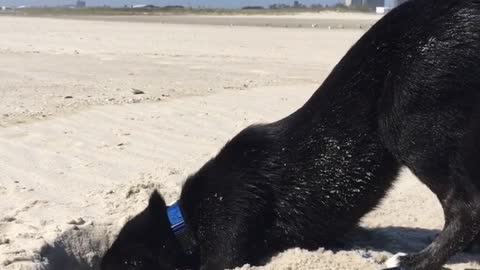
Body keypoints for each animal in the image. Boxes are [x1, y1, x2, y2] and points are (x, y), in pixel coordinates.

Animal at [100, 1, 480, 268]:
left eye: (126, 264)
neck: (186, 222)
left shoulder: (228, 235)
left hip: (408, 122)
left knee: (465, 209)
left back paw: (417, 261)